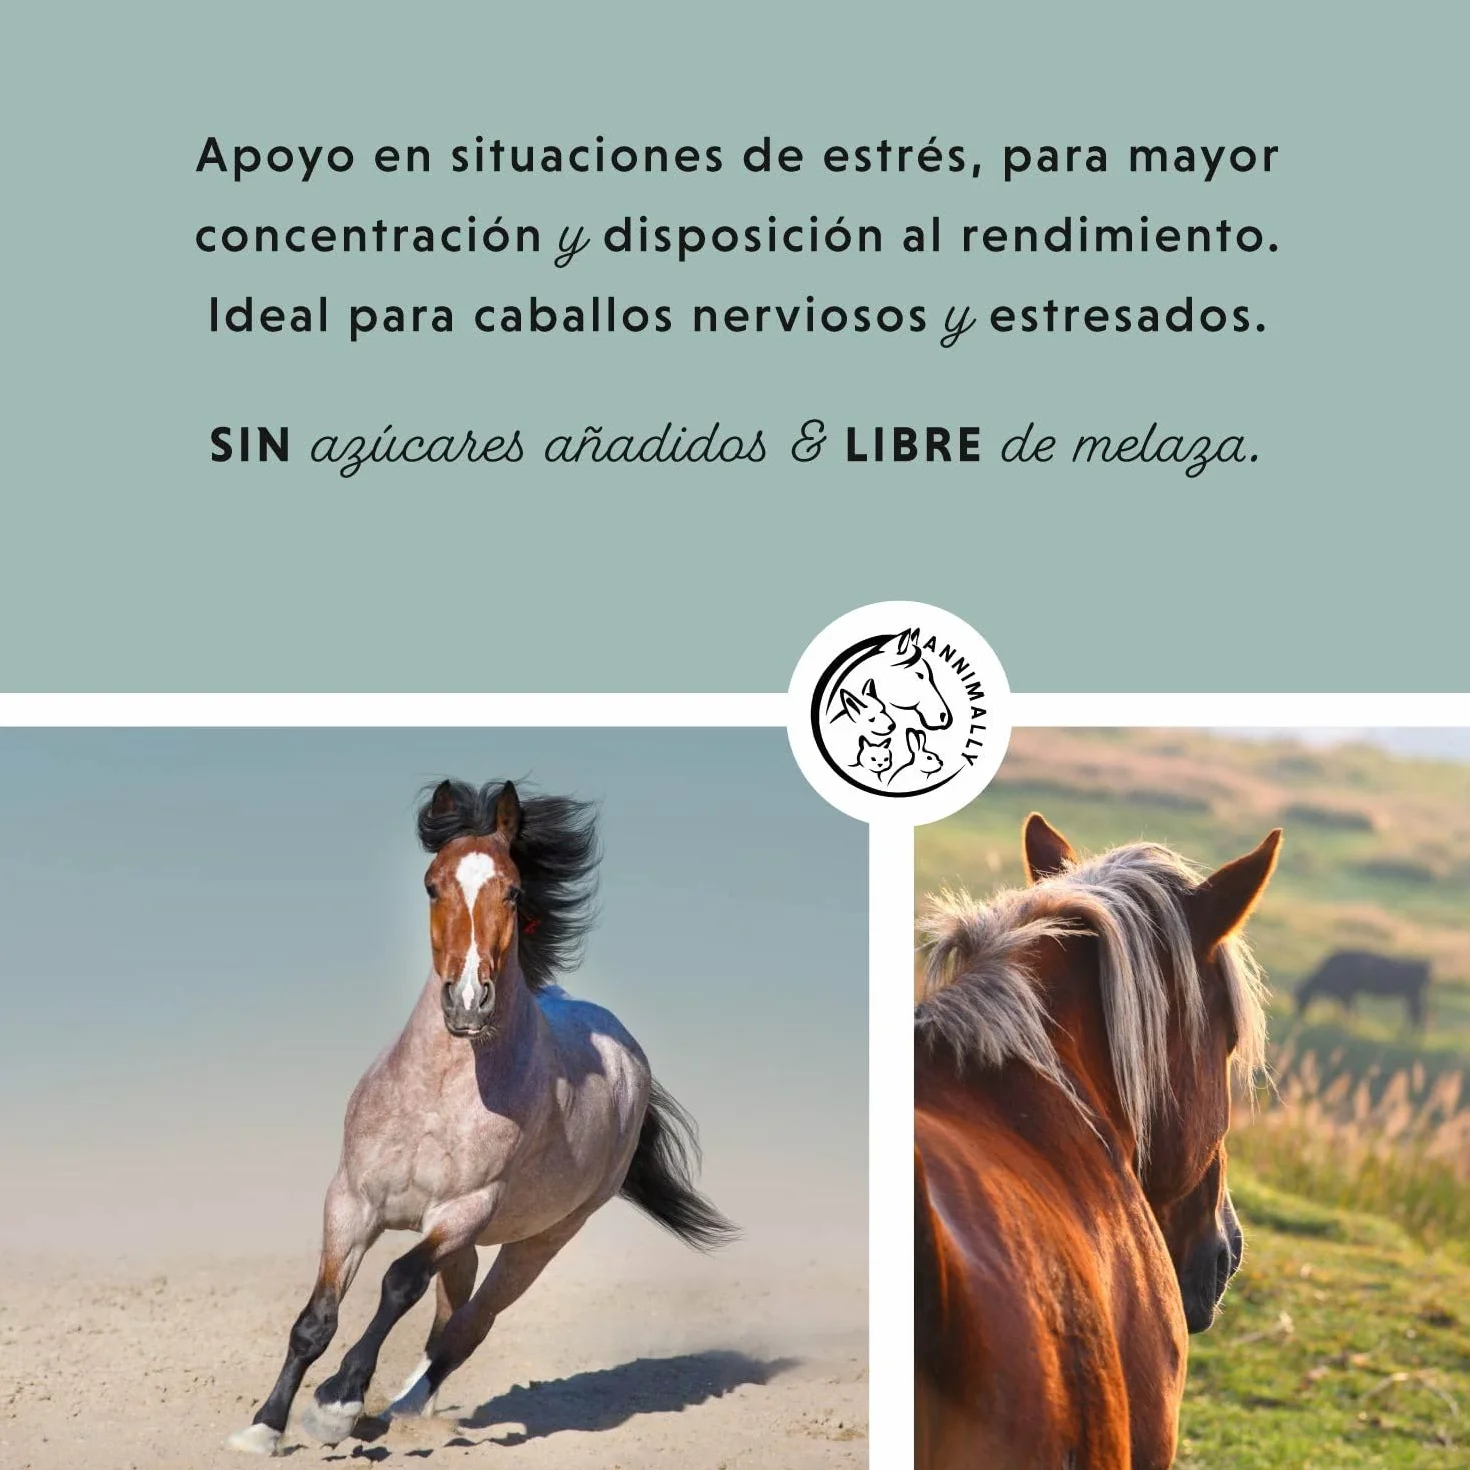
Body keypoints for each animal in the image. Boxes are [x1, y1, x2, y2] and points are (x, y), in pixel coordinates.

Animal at [227, 779, 737, 1456]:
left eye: (513, 890)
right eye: (431, 885)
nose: (468, 1001)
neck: (437, 1097)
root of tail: (628, 1055)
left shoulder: (462, 1211)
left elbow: (398, 1283)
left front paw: (336, 1404)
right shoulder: (352, 1201)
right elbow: (316, 1319)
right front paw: (264, 1427)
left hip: (540, 1240)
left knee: (470, 1325)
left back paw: (398, 1408)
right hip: (467, 1247)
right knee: (449, 1318)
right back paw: (397, 1410)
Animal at [1296, 949, 1431, 1029]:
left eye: (1301, 996)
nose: (1299, 1014)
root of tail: (1423, 964)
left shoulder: (1346, 993)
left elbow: (1349, 1008)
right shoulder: (1350, 993)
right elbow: (1350, 1008)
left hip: (1412, 995)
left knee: (1417, 1013)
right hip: (1410, 996)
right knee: (1415, 1013)